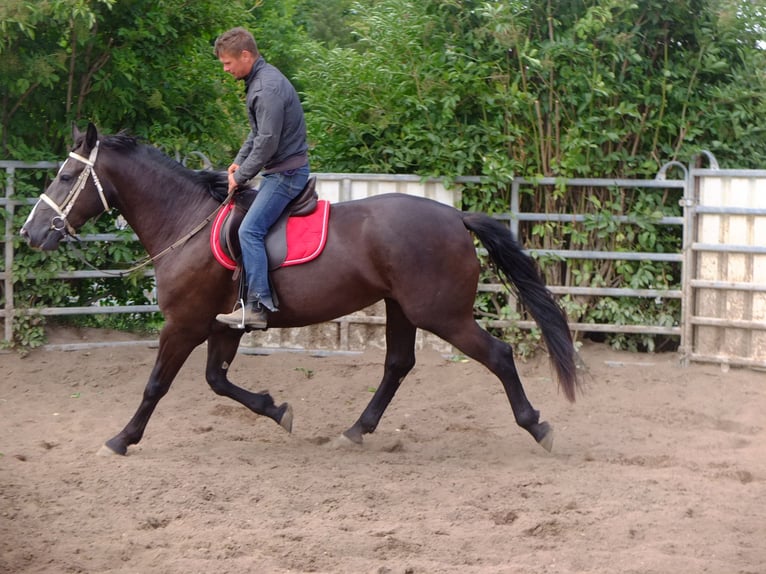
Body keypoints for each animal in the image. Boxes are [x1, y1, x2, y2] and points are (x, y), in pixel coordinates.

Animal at [19, 124, 584, 456]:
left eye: (66, 175)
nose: (30, 232)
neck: (188, 223)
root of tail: (455, 216)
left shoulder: (183, 324)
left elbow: (157, 385)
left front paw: (121, 439)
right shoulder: (224, 326)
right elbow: (217, 381)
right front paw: (278, 410)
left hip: (440, 314)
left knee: (498, 354)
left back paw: (537, 426)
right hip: (401, 308)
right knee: (398, 365)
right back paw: (357, 429)